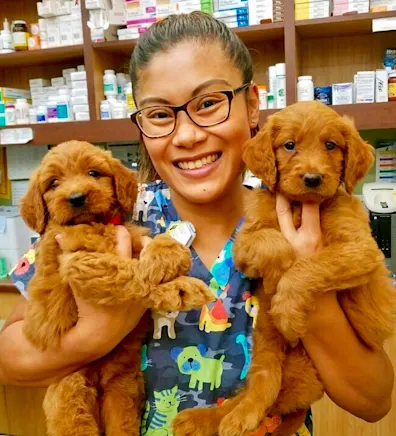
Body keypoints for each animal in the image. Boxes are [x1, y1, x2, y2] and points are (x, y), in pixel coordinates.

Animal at [20, 141, 213, 436]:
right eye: (53, 182)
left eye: (93, 172)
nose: (76, 197)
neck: (94, 222)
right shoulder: (83, 263)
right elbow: (132, 275)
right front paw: (179, 286)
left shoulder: (126, 239)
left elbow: (142, 246)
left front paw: (169, 251)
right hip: (70, 387)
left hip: (121, 387)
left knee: (121, 420)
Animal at [172, 101, 396, 436]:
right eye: (289, 145)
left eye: (331, 145)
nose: (313, 178)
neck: (301, 206)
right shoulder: (246, 241)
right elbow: (275, 243)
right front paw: (277, 277)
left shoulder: (361, 249)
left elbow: (309, 267)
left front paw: (288, 310)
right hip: (266, 345)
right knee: (257, 389)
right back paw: (217, 419)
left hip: (300, 372)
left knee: (266, 395)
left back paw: (222, 420)